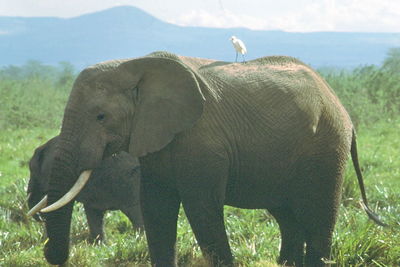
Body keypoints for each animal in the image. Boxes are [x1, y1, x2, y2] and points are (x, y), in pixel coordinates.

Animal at [31, 51, 384, 266]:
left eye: (101, 117)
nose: (51, 253)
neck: (136, 64)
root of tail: (337, 101)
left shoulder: (203, 145)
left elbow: (202, 210)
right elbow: (156, 209)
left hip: (326, 146)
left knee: (319, 214)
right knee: (287, 216)